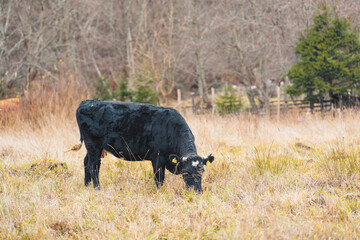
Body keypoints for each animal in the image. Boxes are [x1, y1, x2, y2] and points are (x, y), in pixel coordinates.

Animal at [71, 100, 215, 193]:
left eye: (202, 171)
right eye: (187, 172)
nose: (197, 191)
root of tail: (87, 102)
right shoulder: (157, 158)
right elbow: (159, 179)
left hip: (95, 147)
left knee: (87, 163)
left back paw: (87, 186)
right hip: (93, 145)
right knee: (93, 166)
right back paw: (97, 188)